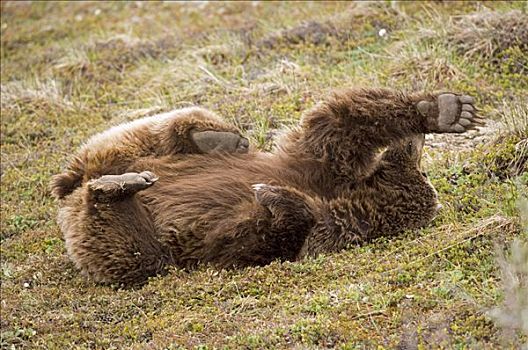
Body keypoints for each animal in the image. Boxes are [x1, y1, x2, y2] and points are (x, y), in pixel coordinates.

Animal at [52, 87, 482, 284]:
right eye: (421, 168)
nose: (414, 145)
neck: (347, 192)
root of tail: (73, 190)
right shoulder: (318, 163)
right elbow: (336, 123)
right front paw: (445, 110)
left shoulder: (319, 227)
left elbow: (262, 236)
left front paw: (272, 196)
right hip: (131, 148)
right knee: (158, 130)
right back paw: (212, 139)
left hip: (123, 242)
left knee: (131, 250)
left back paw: (116, 189)